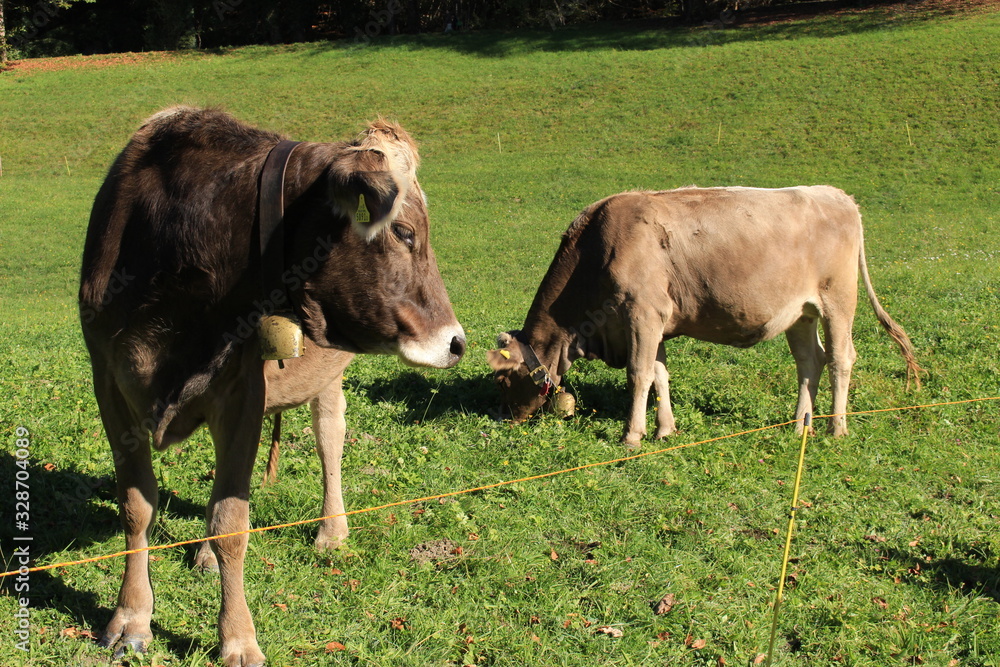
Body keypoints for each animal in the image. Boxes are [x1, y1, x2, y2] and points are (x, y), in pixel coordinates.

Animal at [79, 106, 465, 666]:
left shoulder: (241, 393)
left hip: (329, 380)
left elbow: (231, 522)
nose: (457, 342)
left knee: (330, 440)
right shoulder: (108, 384)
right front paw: (130, 617)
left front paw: (238, 638)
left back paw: (331, 531)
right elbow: (137, 506)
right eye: (405, 232)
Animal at [488, 186, 921, 447]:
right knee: (809, 362)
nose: (504, 418)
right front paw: (664, 429)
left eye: (502, 379)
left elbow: (638, 374)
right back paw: (801, 424)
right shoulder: (654, 322)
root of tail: (837, 195)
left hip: (839, 300)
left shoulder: (642, 313)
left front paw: (632, 435)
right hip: (801, 312)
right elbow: (659, 374)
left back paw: (836, 427)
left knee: (841, 359)